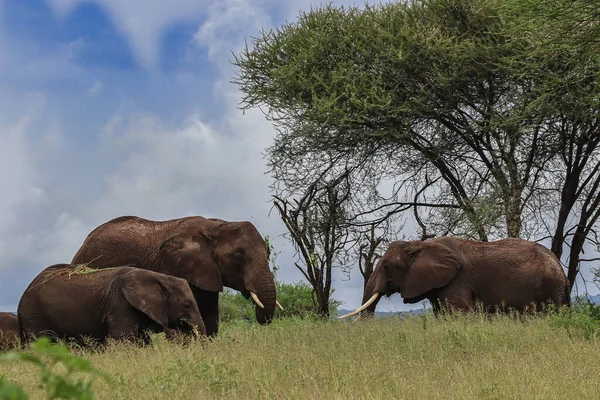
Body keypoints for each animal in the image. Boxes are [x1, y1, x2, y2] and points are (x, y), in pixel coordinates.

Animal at [340, 234, 568, 318]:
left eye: (387, 266)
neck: (421, 245)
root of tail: (560, 267)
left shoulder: (457, 279)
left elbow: (458, 312)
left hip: (548, 288)